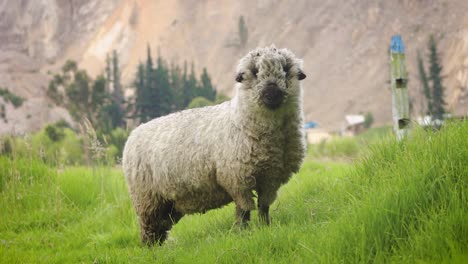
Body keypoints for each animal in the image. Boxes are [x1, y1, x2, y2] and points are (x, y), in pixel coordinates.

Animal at [122, 46, 308, 245]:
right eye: (254, 71)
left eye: (286, 69)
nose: (272, 93)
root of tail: (133, 133)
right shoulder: (237, 178)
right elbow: (243, 209)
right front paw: (241, 231)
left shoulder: (271, 178)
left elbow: (263, 207)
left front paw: (266, 227)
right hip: (146, 198)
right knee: (148, 228)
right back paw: (151, 248)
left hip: (168, 202)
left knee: (160, 227)